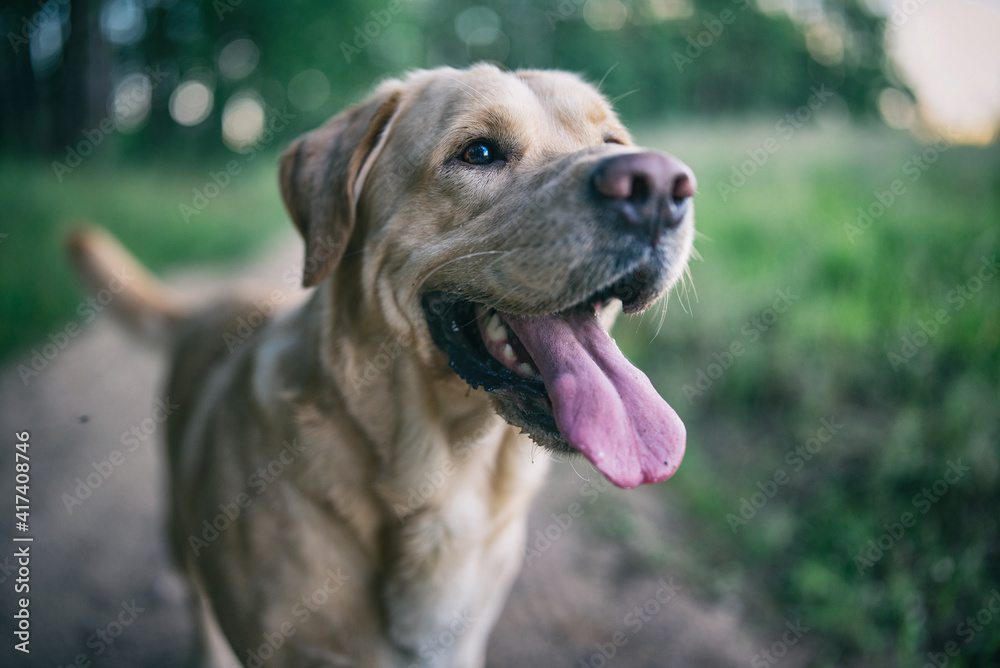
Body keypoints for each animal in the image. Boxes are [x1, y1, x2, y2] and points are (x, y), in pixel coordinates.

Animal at [70, 64, 696, 668]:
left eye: (612, 141)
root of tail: (208, 303)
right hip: (178, 536)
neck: (446, 473)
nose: (660, 185)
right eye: (479, 152)